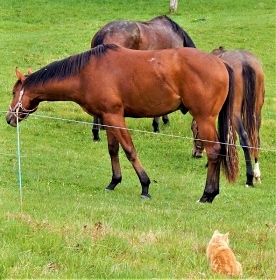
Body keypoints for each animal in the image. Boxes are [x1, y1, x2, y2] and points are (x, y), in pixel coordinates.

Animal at [7, 43, 239, 202]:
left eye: (13, 92)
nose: (9, 117)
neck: (86, 73)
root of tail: (221, 63)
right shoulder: (108, 117)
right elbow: (113, 150)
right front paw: (114, 182)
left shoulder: (115, 117)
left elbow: (129, 150)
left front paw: (145, 186)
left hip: (204, 118)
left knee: (214, 151)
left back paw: (207, 194)